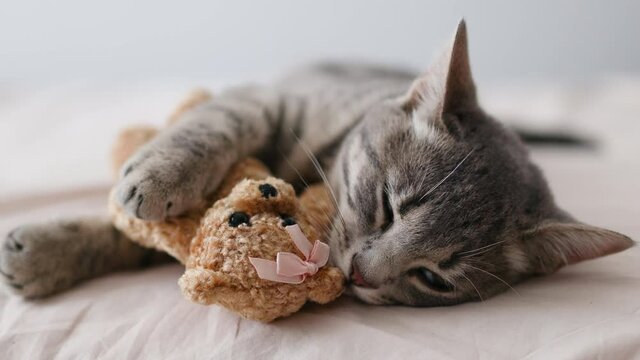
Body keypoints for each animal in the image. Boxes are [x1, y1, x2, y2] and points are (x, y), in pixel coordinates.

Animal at [0, 21, 632, 304]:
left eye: (434, 277)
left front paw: (50, 253)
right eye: (389, 205)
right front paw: (155, 177)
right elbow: (213, 126)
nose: (360, 275)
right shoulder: (267, 99)